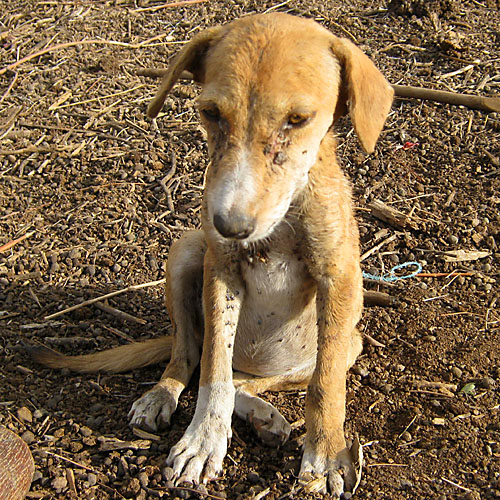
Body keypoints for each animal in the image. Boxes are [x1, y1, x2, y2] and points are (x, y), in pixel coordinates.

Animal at [34, 13, 394, 498]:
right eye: (211, 113)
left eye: (298, 119)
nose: (229, 226)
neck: (284, 220)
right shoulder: (220, 271)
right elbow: (212, 371)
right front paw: (204, 440)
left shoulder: (339, 280)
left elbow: (325, 384)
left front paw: (325, 452)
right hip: (185, 251)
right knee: (189, 354)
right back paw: (164, 395)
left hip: (351, 340)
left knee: (254, 381)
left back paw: (265, 415)